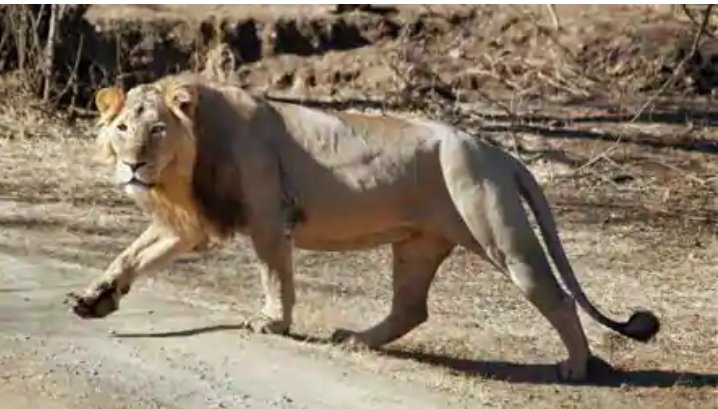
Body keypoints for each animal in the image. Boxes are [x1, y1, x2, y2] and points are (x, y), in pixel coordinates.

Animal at [68, 73, 659, 381]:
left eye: (157, 129)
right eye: (121, 128)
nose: (133, 166)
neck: (185, 167)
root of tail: (496, 150)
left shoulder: (268, 216)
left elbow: (274, 274)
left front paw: (272, 323)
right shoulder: (190, 223)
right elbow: (131, 255)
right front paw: (96, 299)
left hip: (500, 234)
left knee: (557, 297)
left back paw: (576, 368)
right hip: (418, 245)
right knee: (411, 309)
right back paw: (355, 339)